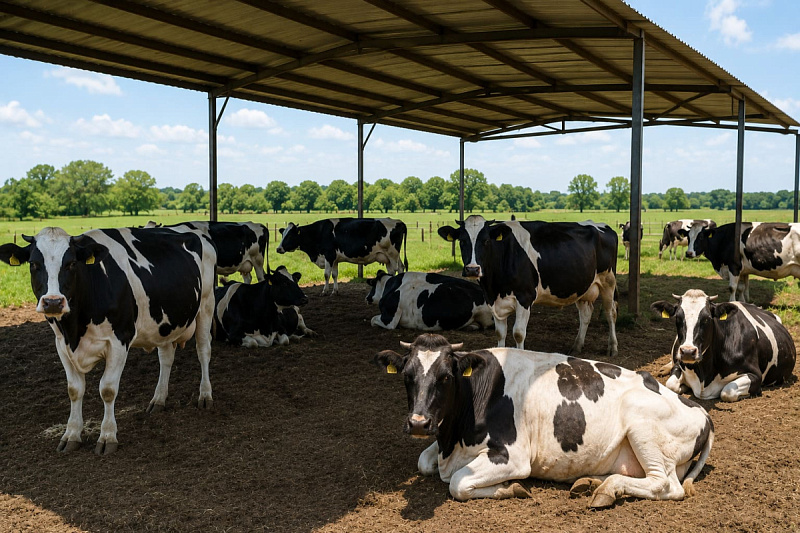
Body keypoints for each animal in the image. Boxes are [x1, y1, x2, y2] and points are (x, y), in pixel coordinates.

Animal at [0, 226, 217, 454]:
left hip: (206, 304)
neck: (75, 329)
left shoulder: (119, 341)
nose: (53, 302)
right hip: (164, 323)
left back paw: (205, 395)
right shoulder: (61, 343)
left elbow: (108, 389)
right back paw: (158, 399)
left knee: (203, 350)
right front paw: (71, 434)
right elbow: (74, 390)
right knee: (166, 357)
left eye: (71, 263)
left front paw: (107, 437)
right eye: (34, 264)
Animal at [276, 217, 408, 295]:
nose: (278, 249)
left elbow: (326, 274)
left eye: (289, 236)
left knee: (395, 270)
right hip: (391, 256)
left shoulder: (329, 255)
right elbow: (335, 274)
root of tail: (398, 221)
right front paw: (335, 291)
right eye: (283, 234)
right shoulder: (334, 259)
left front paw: (324, 291)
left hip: (392, 254)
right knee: (399, 268)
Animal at [374, 333, 714, 507]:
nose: (419, 423)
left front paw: (510, 488)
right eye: (407, 376)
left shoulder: (514, 456)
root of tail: (701, 411)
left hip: (643, 426)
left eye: (446, 376)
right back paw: (593, 482)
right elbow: (423, 461)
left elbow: (458, 483)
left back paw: (607, 490)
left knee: (664, 485)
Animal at [438, 215, 618, 356]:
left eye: (486, 241)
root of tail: (600, 225)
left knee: (610, 313)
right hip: (583, 286)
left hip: (608, 281)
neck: (494, 287)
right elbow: (499, 333)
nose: (472, 269)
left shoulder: (525, 297)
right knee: (586, 314)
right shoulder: (494, 301)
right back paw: (577, 346)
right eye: (462, 241)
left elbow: (518, 333)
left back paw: (612, 348)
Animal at [652, 289, 795, 402]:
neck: (704, 376)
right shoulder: (680, 363)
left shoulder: (755, 374)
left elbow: (728, 392)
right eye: (678, 318)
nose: (687, 352)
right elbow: (671, 384)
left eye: (707, 319)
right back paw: (664, 368)